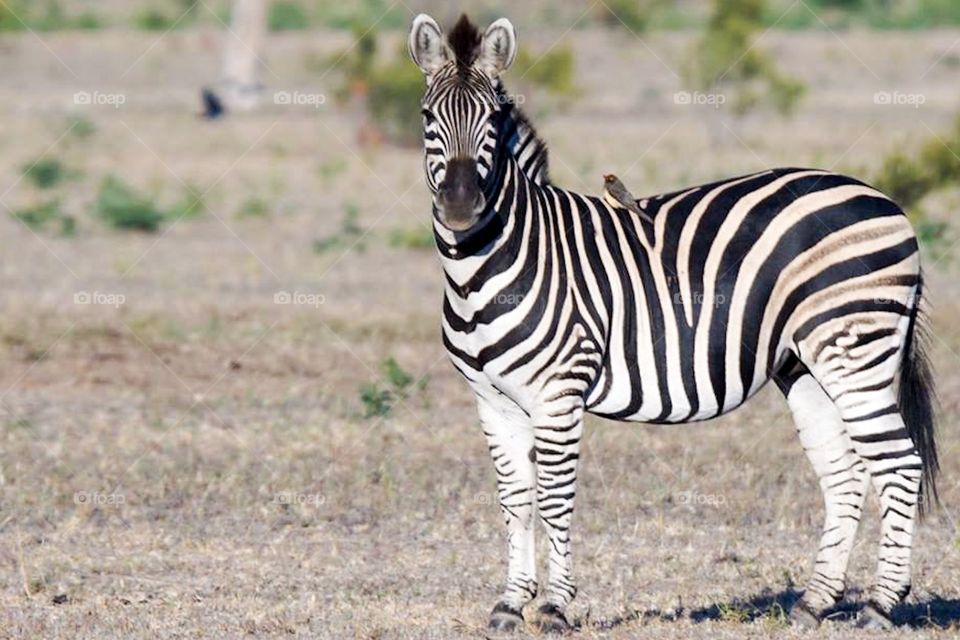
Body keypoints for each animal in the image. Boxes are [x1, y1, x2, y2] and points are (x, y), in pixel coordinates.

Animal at [404, 12, 936, 632]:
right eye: (427, 119)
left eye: (489, 121)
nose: (460, 207)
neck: (490, 266)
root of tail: (885, 200)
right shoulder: (491, 399)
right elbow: (516, 499)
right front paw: (511, 602)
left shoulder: (559, 392)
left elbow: (555, 496)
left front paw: (556, 606)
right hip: (806, 366)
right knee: (845, 474)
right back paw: (814, 601)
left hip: (855, 352)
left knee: (899, 465)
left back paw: (879, 605)